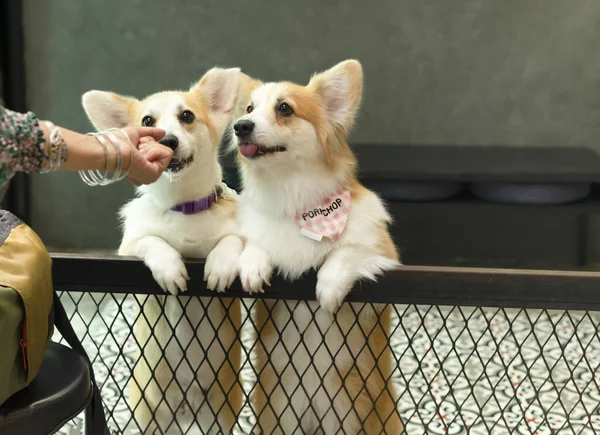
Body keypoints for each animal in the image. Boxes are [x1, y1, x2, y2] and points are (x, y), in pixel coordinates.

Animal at [81, 66, 255, 434]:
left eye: (186, 116)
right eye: (148, 121)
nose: (168, 141)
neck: (184, 206)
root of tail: (185, 408)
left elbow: (231, 241)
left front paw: (219, 266)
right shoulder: (129, 247)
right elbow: (153, 241)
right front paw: (171, 269)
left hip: (220, 415)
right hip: (149, 414)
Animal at [229, 59, 404, 434]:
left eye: (284, 108)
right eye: (248, 109)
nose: (240, 127)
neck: (297, 202)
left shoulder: (382, 264)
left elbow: (347, 252)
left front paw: (328, 287)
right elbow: (256, 244)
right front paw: (252, 265)